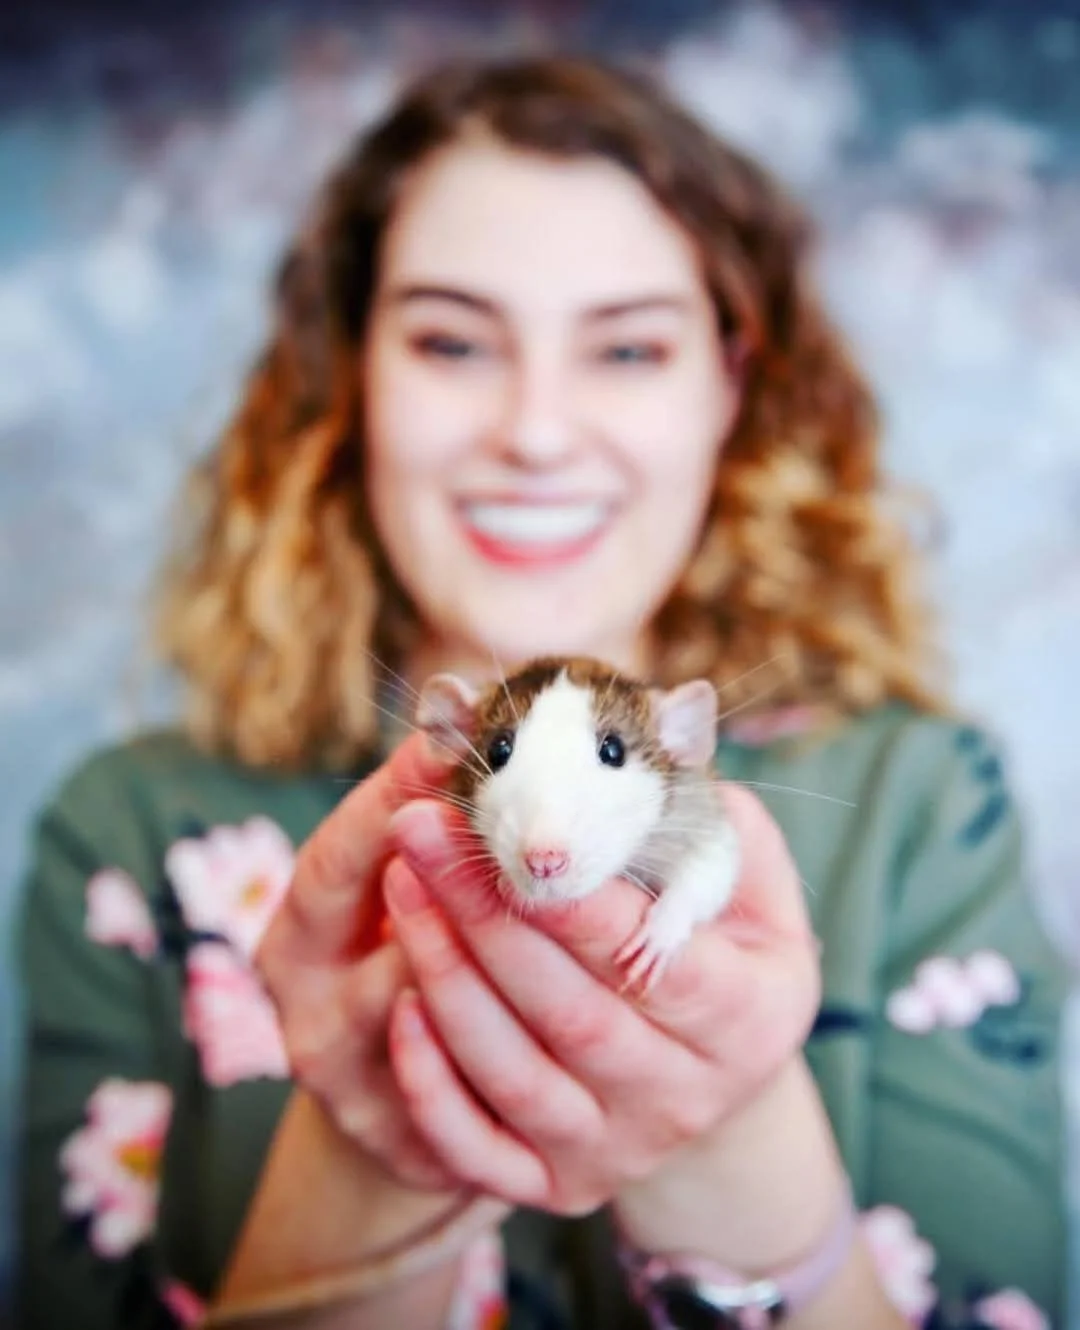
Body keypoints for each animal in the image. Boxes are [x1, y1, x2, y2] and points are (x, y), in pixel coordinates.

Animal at [415, 655, 740, 991]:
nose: (545, 861)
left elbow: (713, 863)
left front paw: (661, 932)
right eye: (498, 750)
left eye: (613, 750)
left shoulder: (692, 808)